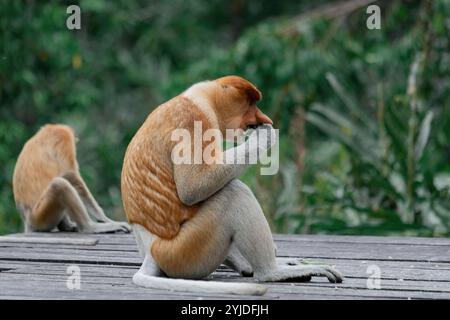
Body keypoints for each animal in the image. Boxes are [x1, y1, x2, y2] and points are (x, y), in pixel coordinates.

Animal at [121, 75, 342, 296]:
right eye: (250, 103)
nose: (264, 119)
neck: (202, 99)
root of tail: (151, 250)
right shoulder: (194, 121)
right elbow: (191, 188)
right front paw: (264, 136)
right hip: (185, 250)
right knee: (235, 193)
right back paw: (272, 272)